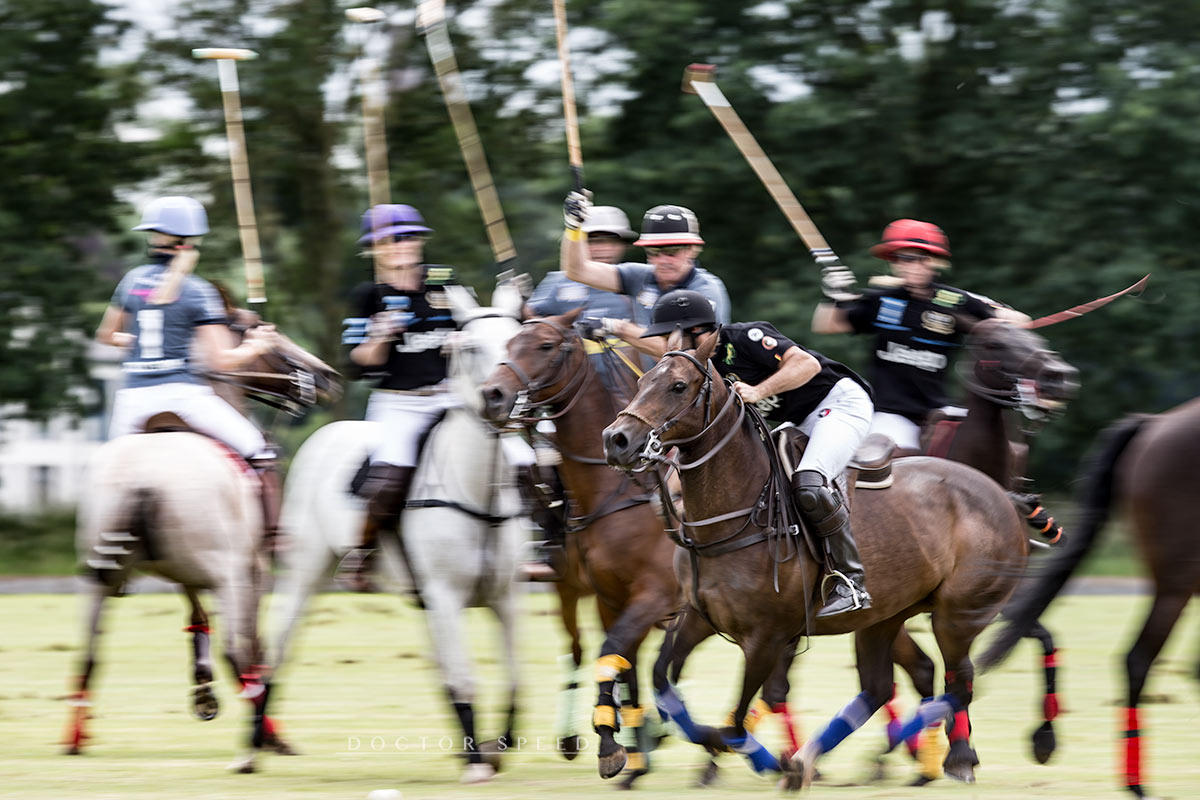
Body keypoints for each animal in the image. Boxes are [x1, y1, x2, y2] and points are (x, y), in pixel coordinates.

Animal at [64, 318, 340, 772]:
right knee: (237, 650)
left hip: (97, 573)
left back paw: (74, 738)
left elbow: (195, 614)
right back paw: (263, 736)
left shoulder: (187, 567)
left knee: (87, 651)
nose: (328, 377)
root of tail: (144, 478)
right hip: (228, 573)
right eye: (271, 338)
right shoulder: (250, 567)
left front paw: (203, 690)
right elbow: (252, 641)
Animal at [270, 280, 525, 784]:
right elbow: (466, 675)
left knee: (440, 669)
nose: (498, 399)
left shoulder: (503, 595)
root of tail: (324, 435)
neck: (477, 488)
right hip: (307, 567)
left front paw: (495, 749)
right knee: (281, 639)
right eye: (470, 346)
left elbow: (512, 678)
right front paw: (476, 762)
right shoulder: (446, 594)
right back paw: (253, 746)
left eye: (518, 340)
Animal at [601, 327, 1028, 789]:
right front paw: (633, 753)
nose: (616, 440)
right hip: (883, 617)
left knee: (960, 679)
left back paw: (956, 758)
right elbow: (664, 680)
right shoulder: (699, 616)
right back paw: (826, 759)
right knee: (882, 687)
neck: (737, 511)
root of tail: (1001, 494)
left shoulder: (767, 637)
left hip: (958, 612)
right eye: (642, 381)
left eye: (678, 386)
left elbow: (735, 723)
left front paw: (755, 757)